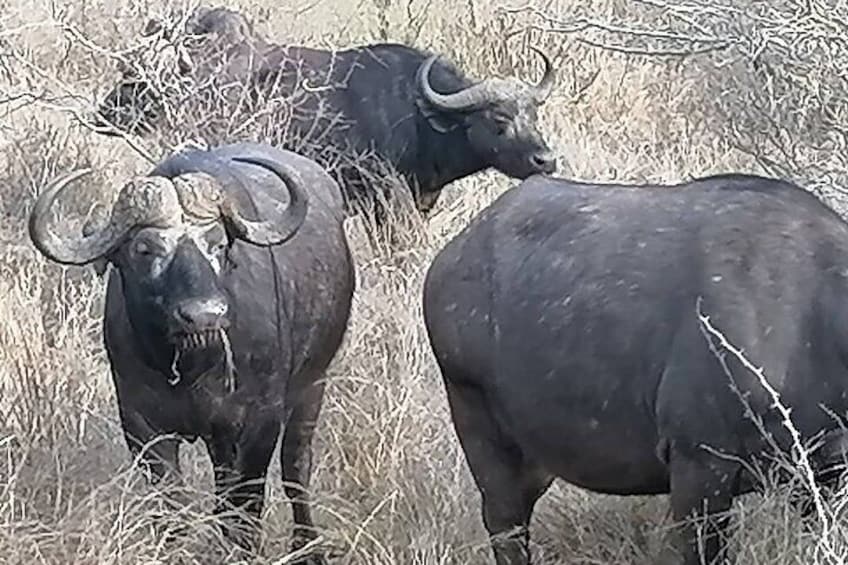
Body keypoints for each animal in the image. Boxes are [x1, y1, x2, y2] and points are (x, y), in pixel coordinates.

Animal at [29, 142, 355, 563]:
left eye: (218, 244)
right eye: (145, 249)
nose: (204, 315)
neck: (194, 368)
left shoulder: (260, 420)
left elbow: (246, 503)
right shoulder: (142, 425)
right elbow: (172, 505)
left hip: (313, 385)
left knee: (296, 468)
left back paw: (307, 545)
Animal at [423, 173, 848, 564]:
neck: (815, 320)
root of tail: (448, 259)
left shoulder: (820, 474)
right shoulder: (700, 467)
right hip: (485, 441)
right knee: (506, 528)